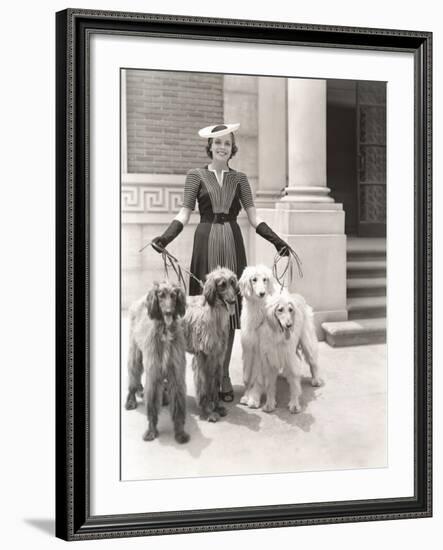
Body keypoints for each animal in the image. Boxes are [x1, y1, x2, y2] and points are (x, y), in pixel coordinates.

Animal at [124, 282, 190, 446]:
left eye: (173, 295)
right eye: (161, 295)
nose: (168, 312)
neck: (165, 331)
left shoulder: (176, 374)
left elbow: (178, 405)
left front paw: (180, 433)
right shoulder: (154, 374)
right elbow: (152, 405)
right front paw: (151, 431)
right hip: (135, 353)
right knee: (133, 376)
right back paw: (131, 400)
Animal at [183, 270, 239, 424]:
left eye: (232, 282)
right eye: (222, 284)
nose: (233, 301)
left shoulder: (217, 355)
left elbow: (214, 383)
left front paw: (217, 407)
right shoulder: (203, 356)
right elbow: (204, 384)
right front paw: (208, 411)